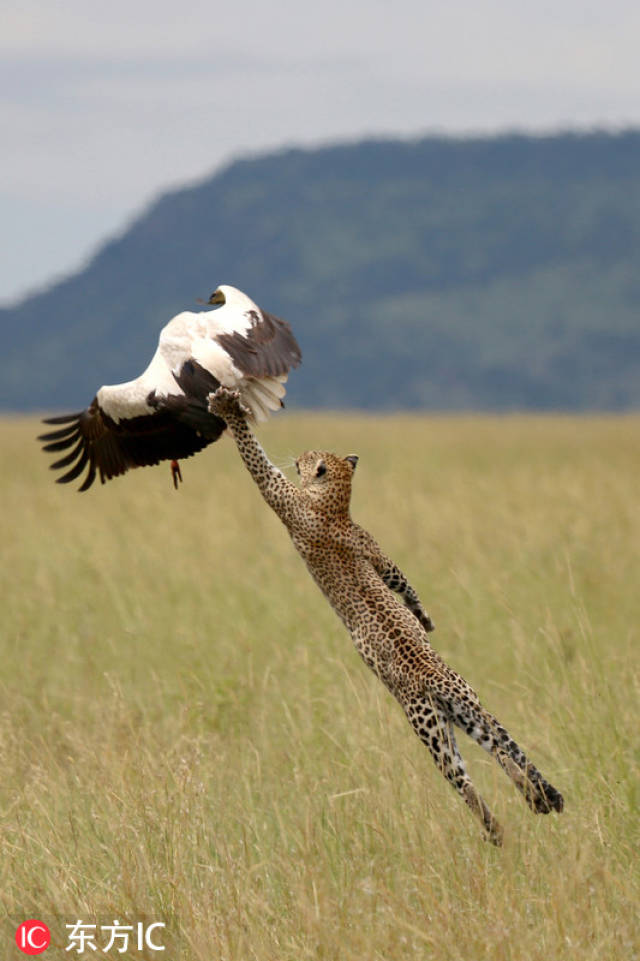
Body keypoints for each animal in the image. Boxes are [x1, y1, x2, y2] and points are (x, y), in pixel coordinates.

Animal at [208, 386, 564, 844]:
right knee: (501, 749)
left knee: (467, 781)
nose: (299, 454)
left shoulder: (283, 497)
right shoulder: (373, 549)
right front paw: (425, 620)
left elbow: (256, 460)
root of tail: (435, 676)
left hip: (428, 727)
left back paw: (497, 830)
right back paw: (537, 799)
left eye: (309, 456)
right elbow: (399, 579)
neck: (335, 504)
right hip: (460, 714)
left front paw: (229, 410)